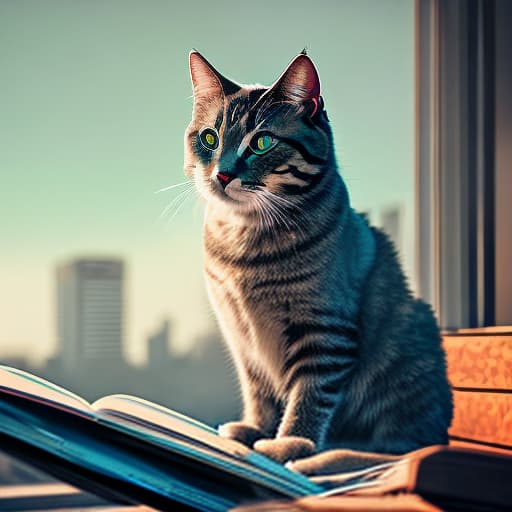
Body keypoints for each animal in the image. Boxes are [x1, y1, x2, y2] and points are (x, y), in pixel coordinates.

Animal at [184, 51, 452, 464]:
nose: (223, 174)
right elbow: (258, 391)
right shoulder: (242, 340)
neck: (246, 239)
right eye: (209, 138)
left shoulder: (324, 333)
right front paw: (255, 429)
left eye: (262, 142)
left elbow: (309, 396)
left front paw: (291, 444)